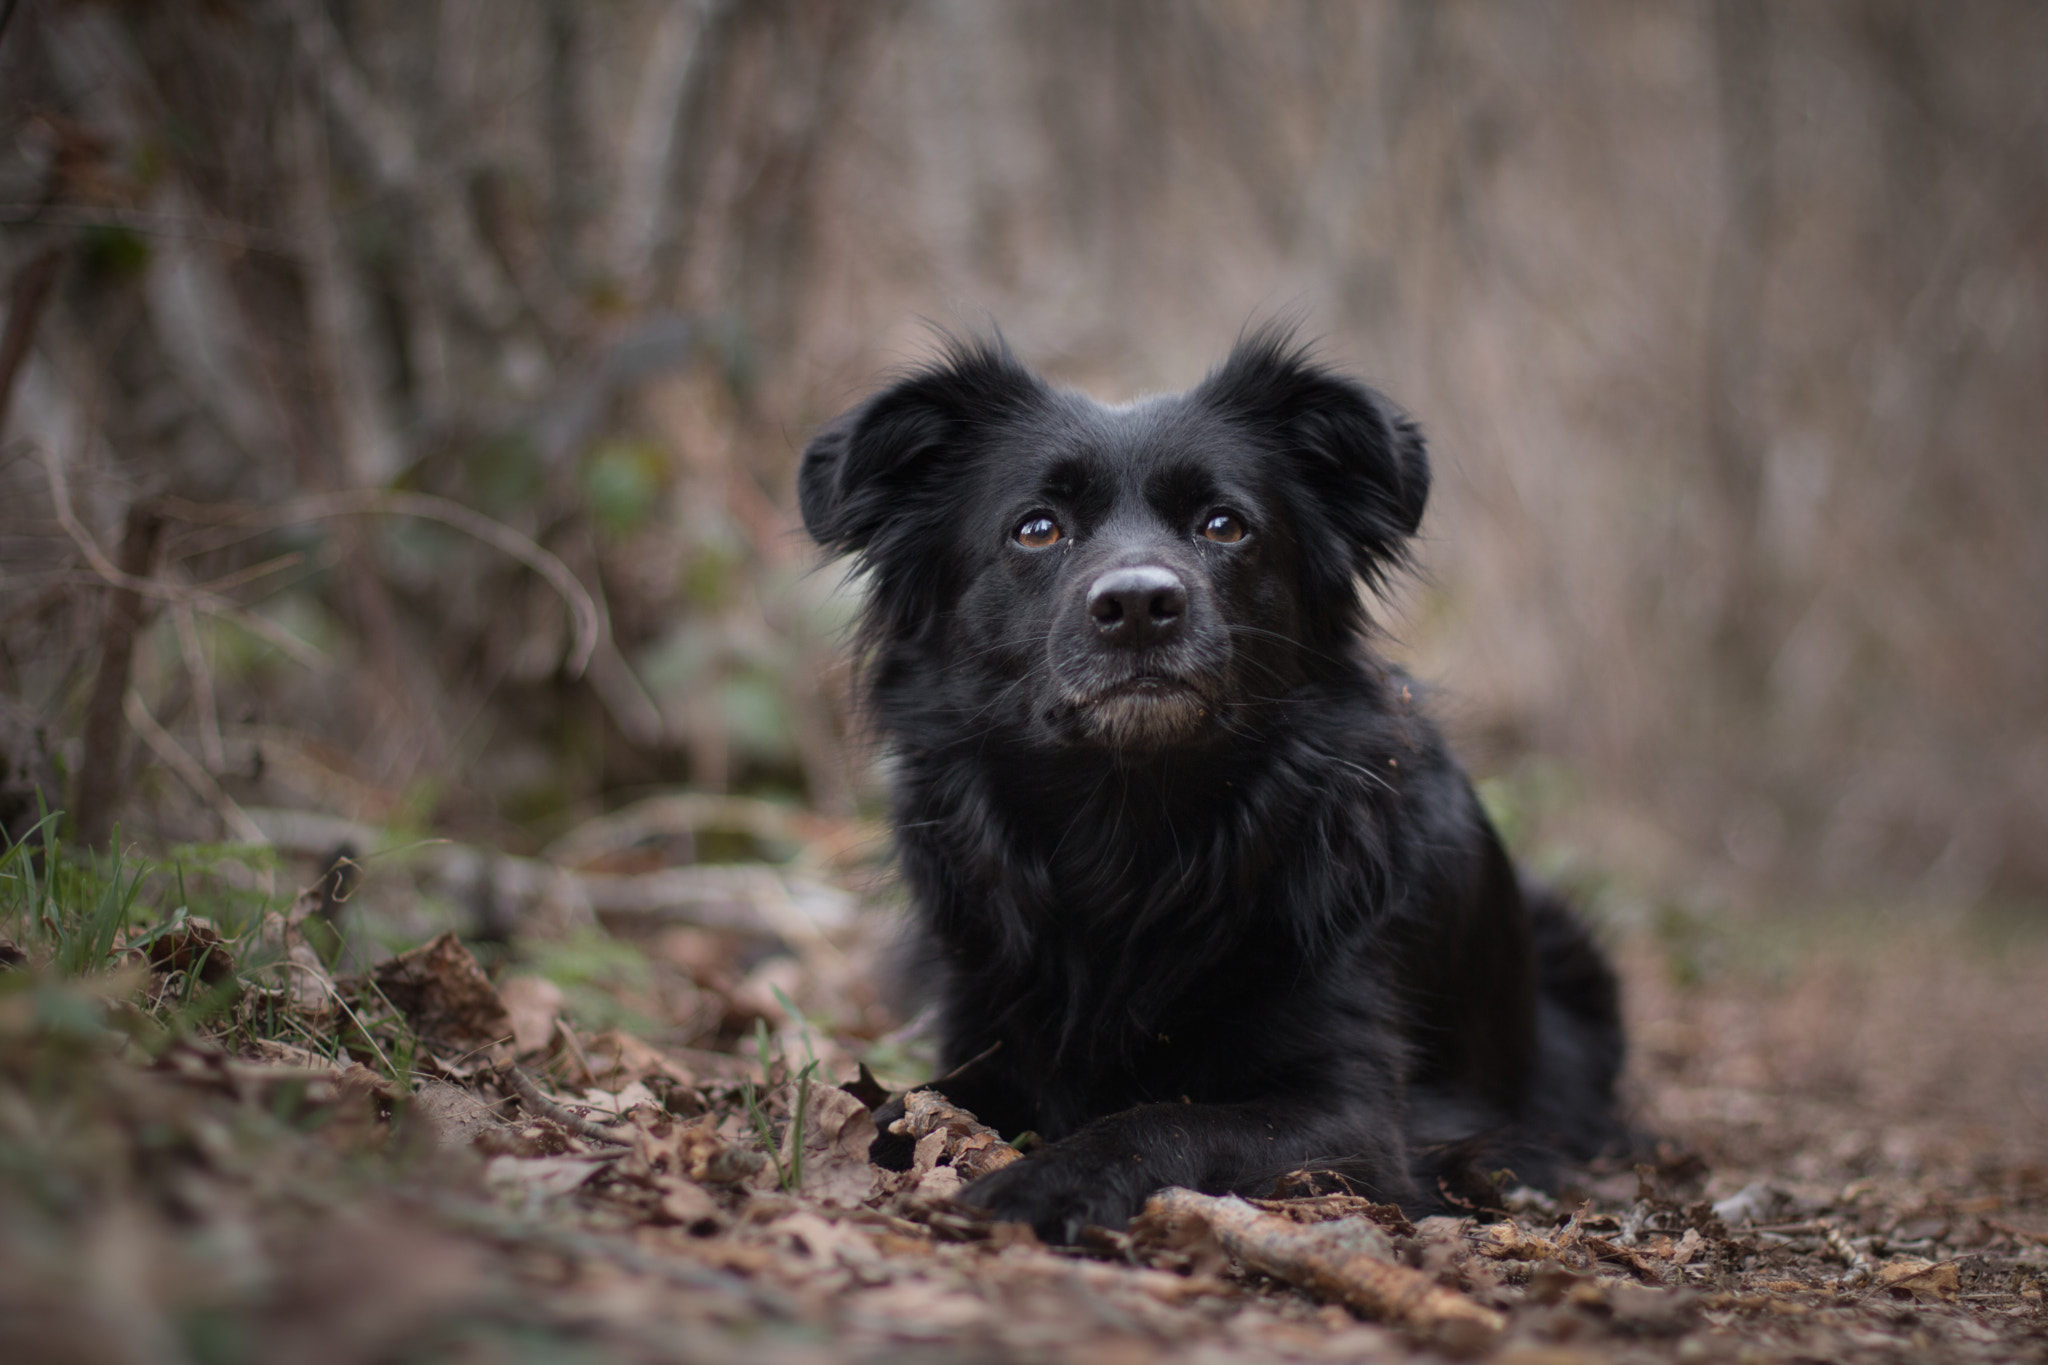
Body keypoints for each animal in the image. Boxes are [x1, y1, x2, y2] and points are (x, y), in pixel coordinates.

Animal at [794, 327, 1613, 1236]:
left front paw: (1045, 1182)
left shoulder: (1354, 1114)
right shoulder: (991, 1038)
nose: (1139, 605)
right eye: (1036, 528)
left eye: (1225, 525)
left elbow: (1160, 1120)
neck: (1130, 826)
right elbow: (903, 1102)